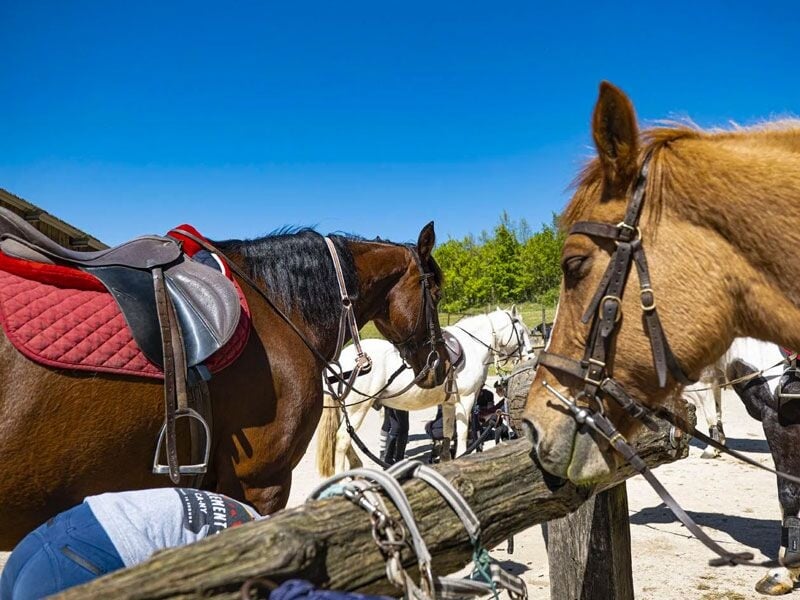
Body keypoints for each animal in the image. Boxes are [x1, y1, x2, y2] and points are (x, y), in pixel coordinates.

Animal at [316, 306, 533, 476]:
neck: (472, 347)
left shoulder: (448, 403)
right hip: (358, 408)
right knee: (342, 439)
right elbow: (463, 433)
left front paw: (447, 461)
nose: (530, 356)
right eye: (522, 333)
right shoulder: (466, 400)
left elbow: (447, 434)